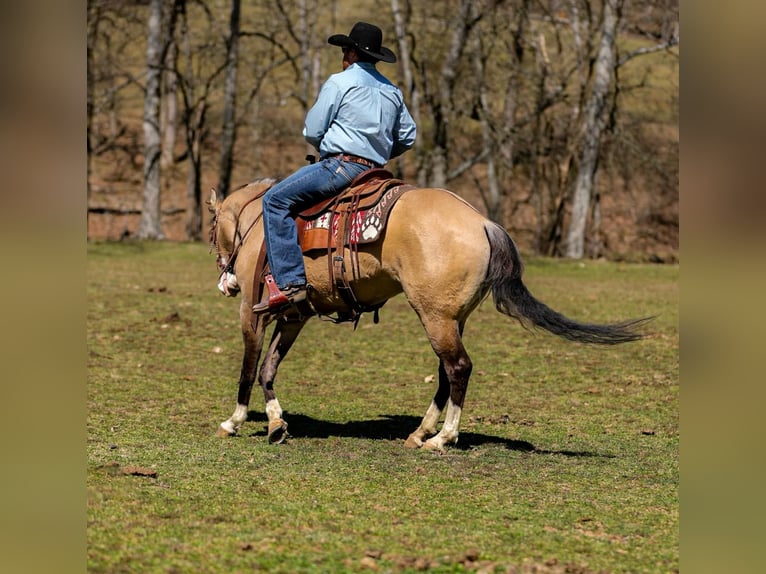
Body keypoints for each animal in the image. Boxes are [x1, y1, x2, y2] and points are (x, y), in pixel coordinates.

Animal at [207, 173, 652, 452]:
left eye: (212, 230)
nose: (226, 281)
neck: (257, 223)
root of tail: (483, 223)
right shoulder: (294, 317)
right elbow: (268, 368)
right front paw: (276, 422)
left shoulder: (252, 311)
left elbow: (248, 366)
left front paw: (235, 420)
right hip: (451, 317)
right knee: (446, 372)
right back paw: (421, 432)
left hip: (435, 316)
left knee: (458, 368)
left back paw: (442, 438)